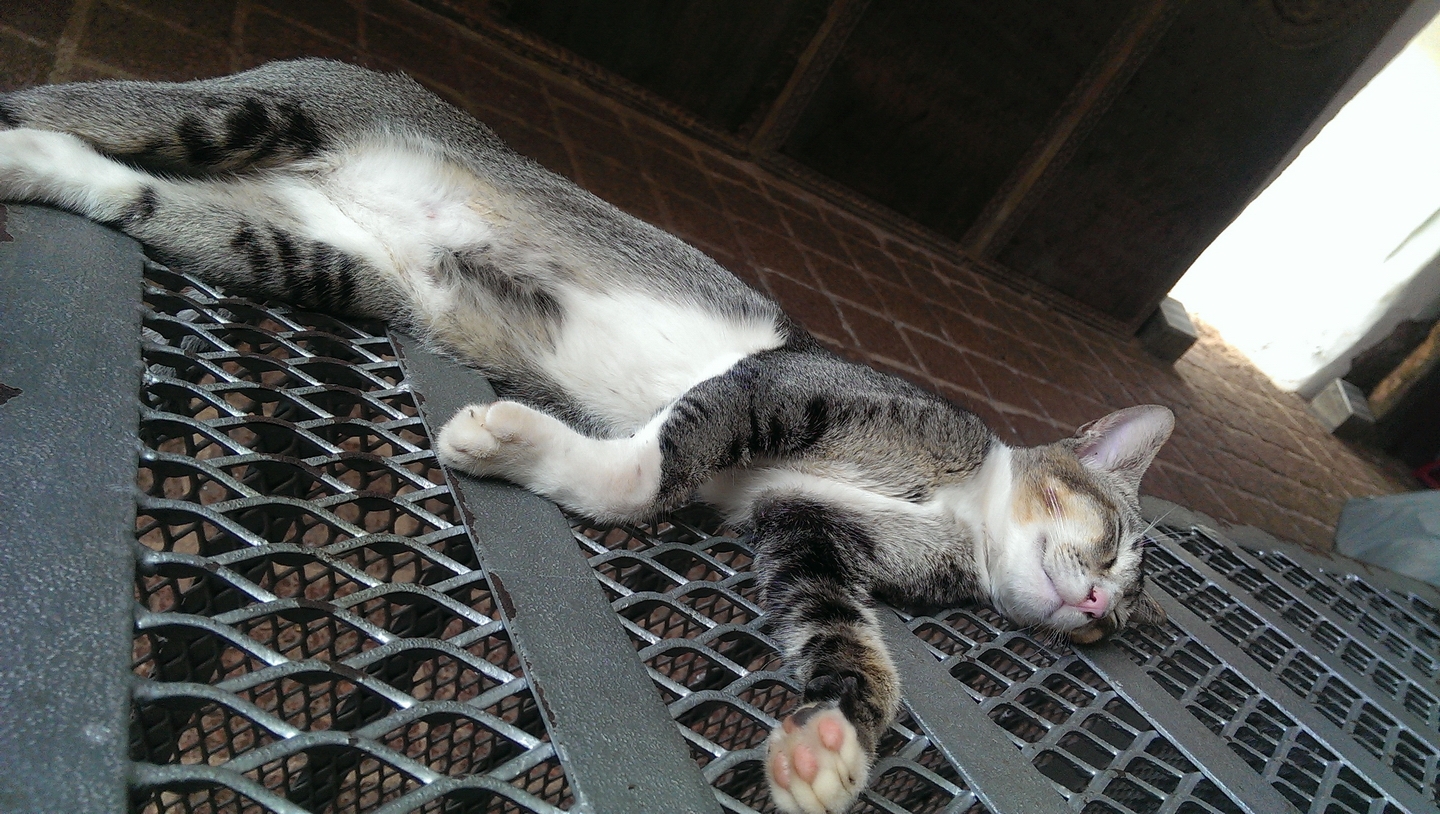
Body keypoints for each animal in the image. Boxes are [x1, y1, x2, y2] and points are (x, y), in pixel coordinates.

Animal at [0, 59, 1170, 814]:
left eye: (1115, 623)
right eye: (1117, 542)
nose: (1098, 610)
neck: (958, 509)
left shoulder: (803, 531)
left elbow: (840, 634)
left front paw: (829, 753)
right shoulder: (799, 385)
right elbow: (653, 468)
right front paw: (512, 442)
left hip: (309, 258)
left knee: (137, 193)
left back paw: (42, 170)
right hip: (262, 107)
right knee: (99, 108)